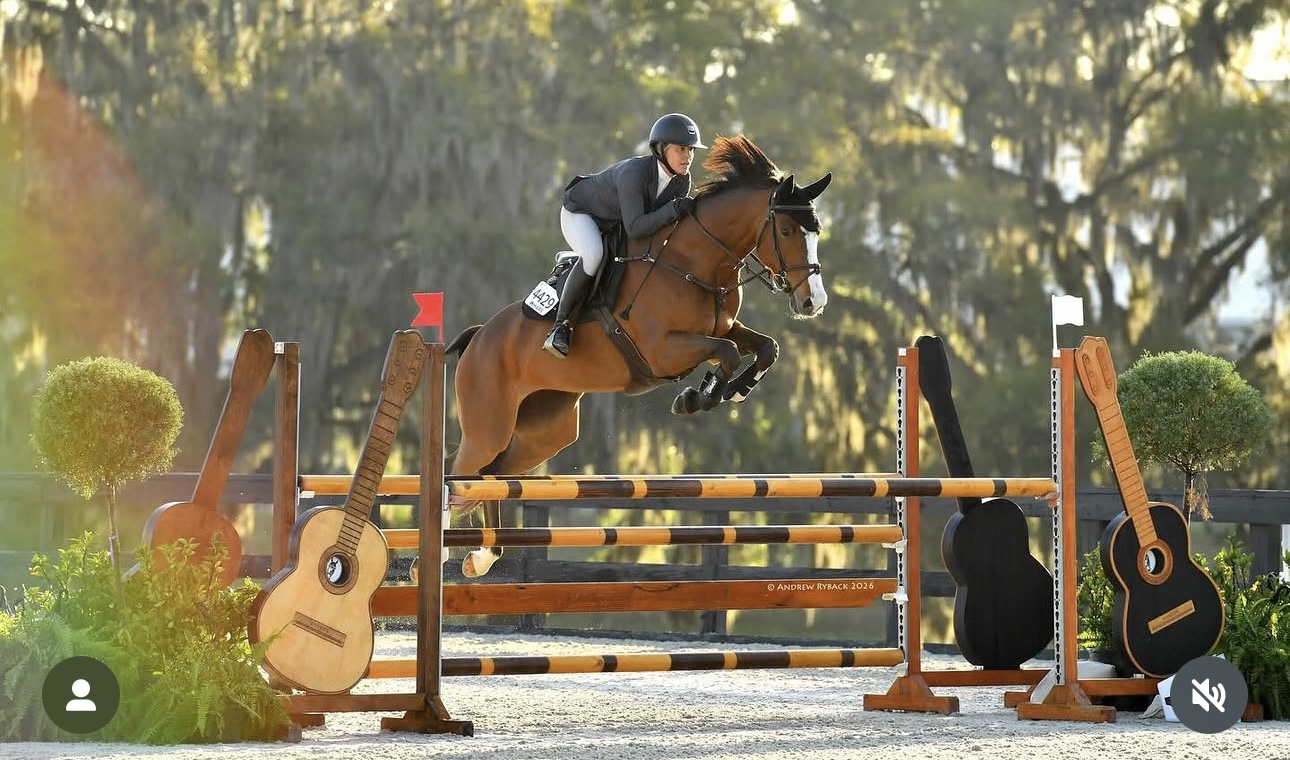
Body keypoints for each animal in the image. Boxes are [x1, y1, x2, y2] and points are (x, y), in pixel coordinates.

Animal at [445, 134, 833, 577]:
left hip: (544, 432)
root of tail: (479, 336)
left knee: (490, 475)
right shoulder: (662, 350)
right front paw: (698, 397)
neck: (694, 261)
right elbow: (729, 353)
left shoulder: (721, 327)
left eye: (817, 231)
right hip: (489, 427)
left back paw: (483, 556)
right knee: (459, 469)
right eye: (785, 229)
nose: (813, 302)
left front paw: (727, 391)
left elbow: (764, 347)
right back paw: (444, 560)